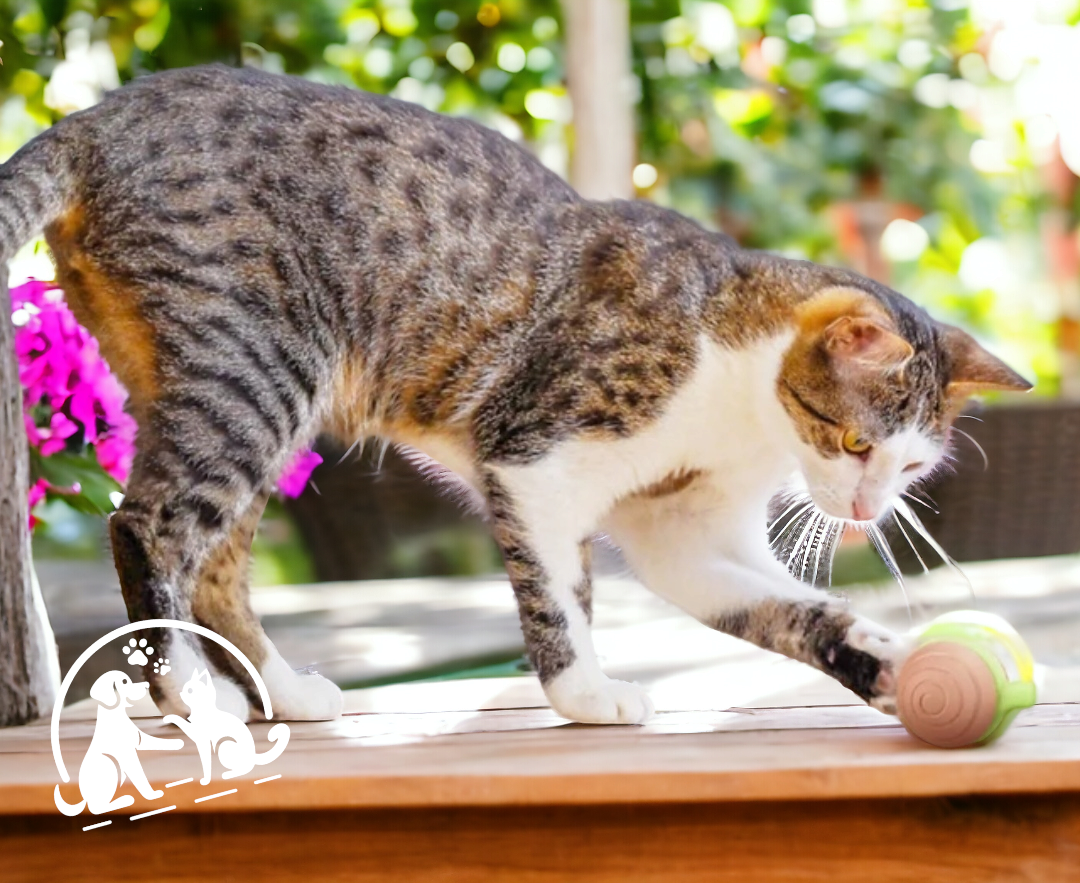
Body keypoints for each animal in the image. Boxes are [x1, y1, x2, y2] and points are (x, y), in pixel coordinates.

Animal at [0, 65, 1028, 721]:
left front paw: (886, 660)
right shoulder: (535, 457)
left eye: (913, 467)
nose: (866, 509)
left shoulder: (687, 535)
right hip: (253, 366)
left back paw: (283, 695)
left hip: (241, 387)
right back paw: (187, 696)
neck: (740, 398)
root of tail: (103, 116)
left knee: (215, 563)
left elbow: (788, 610)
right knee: (149, 525)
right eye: (856, 444)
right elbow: (557, 597)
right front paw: (585, 695)